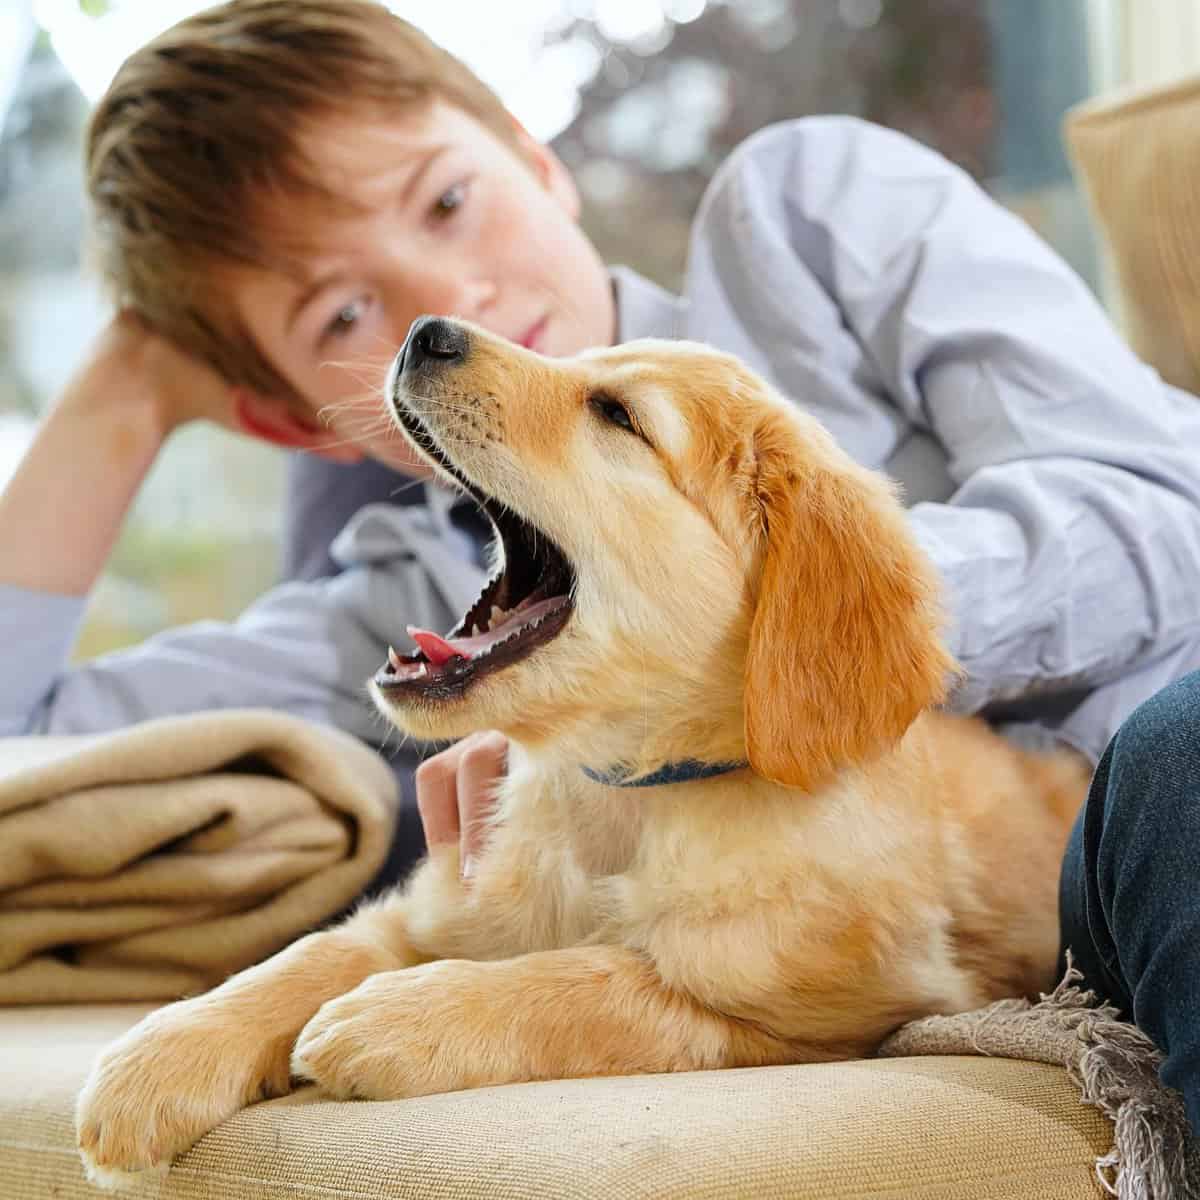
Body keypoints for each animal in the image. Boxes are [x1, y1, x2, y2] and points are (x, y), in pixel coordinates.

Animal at [75, 321, 1089, 1190]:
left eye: (618, 415)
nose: (426, 331)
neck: (619, 794)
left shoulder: (845, 1008)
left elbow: (599, 979)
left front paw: (399, 1015)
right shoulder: (441, 900)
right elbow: (313, 952)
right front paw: (159, 1055)